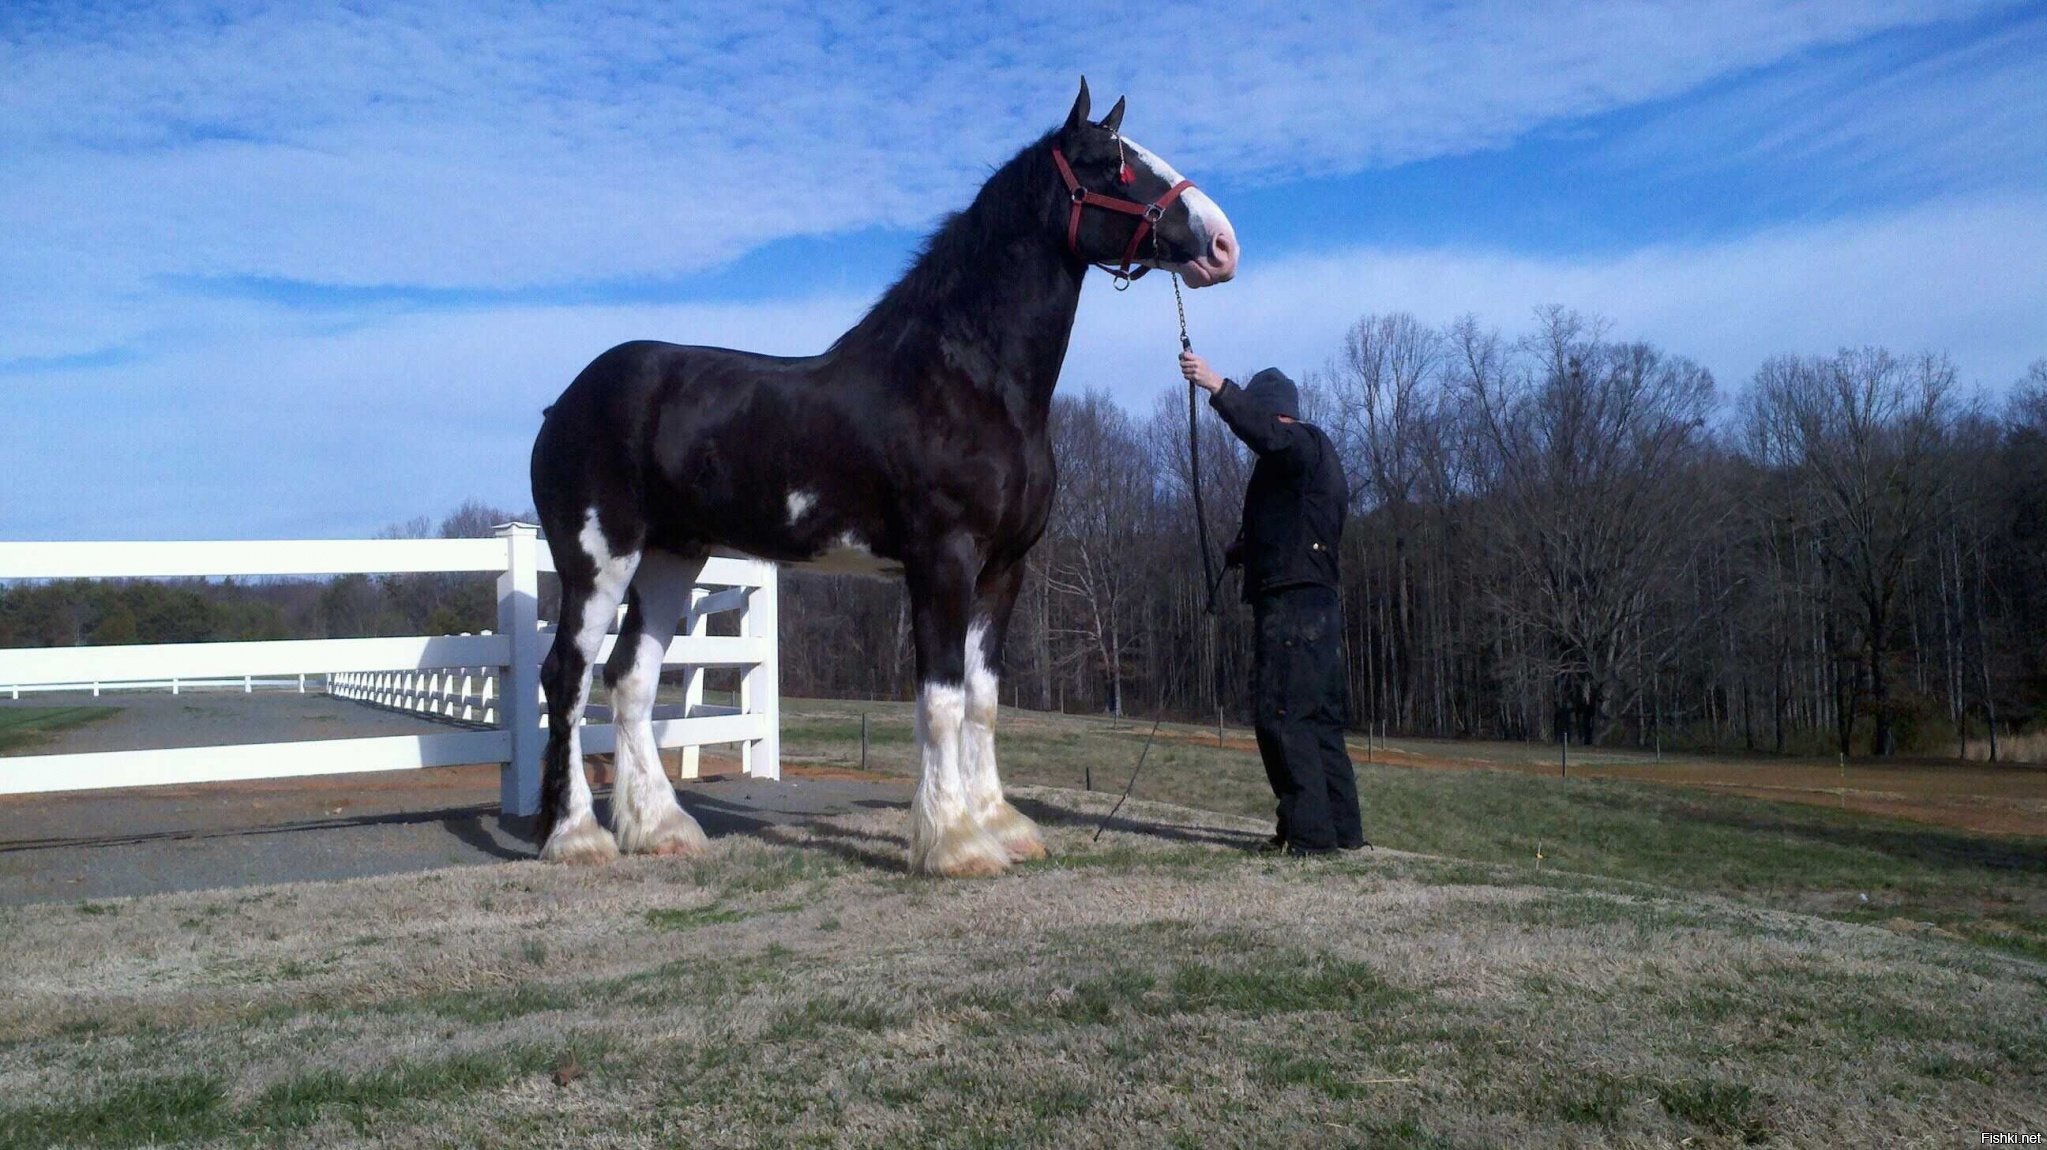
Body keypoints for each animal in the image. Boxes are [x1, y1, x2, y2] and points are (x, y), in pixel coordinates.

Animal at [528, 78, 1228, 867]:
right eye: (1112, 164)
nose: (1221, 243)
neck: (966, 379)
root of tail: (566, 402)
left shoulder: (1005, 569)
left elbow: (983, 700)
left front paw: (1003, 825)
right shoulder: (942, 560)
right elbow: (942, 700)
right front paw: (954, 843)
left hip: (672, 557)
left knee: (630, 679)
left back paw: (659, 828)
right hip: (598, 560)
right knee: (568, 676)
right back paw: (576, 835)